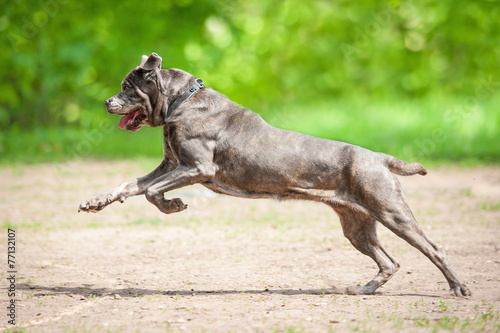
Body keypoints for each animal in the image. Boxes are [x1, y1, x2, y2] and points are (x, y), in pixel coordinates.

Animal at [79, 52, 468, 296]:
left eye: (127, 87)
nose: (106, 102)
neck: (181, 102)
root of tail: (380, 158)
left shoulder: (196, 168)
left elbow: (150, 192)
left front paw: (173, 206)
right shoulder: (170, 166)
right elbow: (129, 185)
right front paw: (94, 201)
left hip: (391, 211)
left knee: (434, 249)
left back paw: (458, 287)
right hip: (357, 226)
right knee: (389, 262)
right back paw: (363, 289)